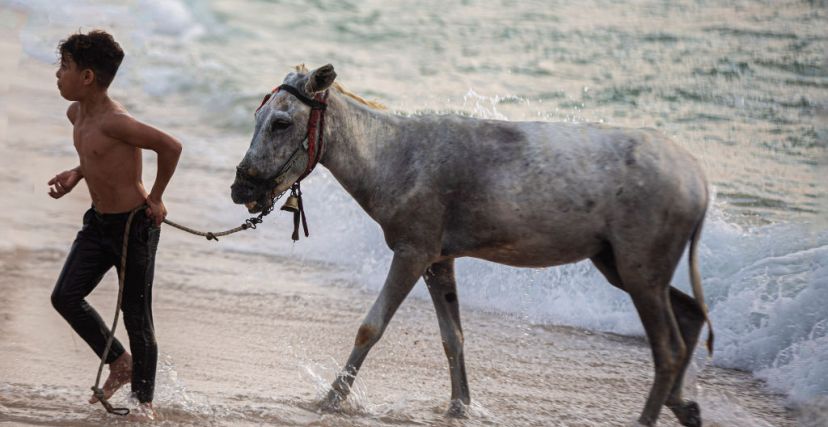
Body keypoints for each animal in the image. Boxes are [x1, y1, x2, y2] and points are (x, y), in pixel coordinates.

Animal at [231, 64, 712, 427]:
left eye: (281, 122)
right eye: (257, 117)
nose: (240, 189)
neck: (391, 158)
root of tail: (698, 179)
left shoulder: (414, 250)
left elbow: (371, 327)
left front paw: (331, 399)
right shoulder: (440, 259)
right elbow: (454, 337)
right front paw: (459, 406)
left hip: (640, 264)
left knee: (668, 348)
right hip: (618, 262)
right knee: (690, 317)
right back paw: (684, 404)